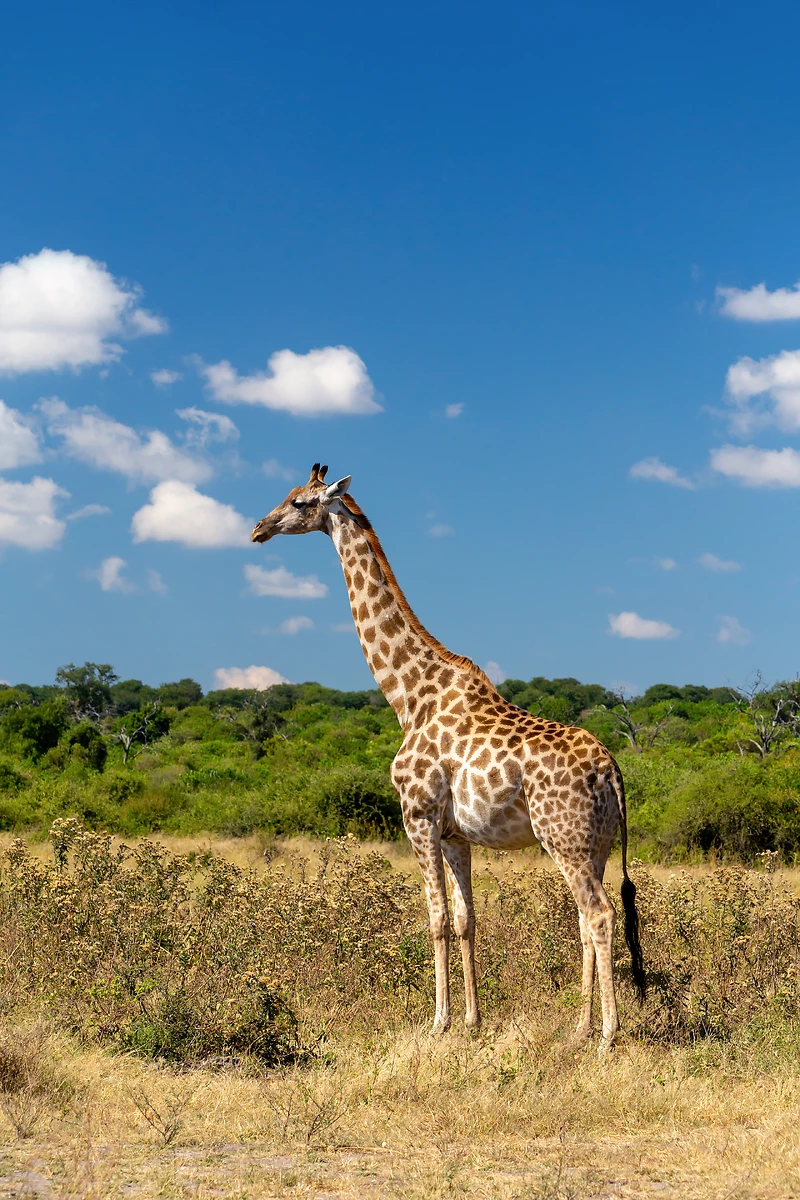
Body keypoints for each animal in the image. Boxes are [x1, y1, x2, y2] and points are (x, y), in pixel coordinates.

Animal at [251, 464, 646, 1051]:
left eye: (299, 502)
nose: (259, 528)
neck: (409, 697)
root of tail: (611, 770)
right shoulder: (456, 832)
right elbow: (466, 919)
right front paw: (471, 1020)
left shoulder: (416, 814)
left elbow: (434, 918)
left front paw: (436, 1022)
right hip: (594, 843)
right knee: (585, 918)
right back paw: (578, 1029)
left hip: (564, 837)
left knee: (598, 915)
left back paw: (606, 1038)